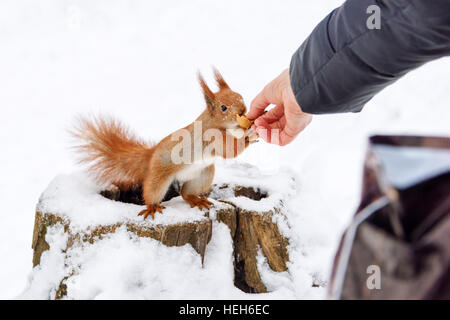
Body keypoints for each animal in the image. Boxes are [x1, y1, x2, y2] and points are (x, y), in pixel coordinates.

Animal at [73, 69, 256, 220]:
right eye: (223, 108)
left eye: (240, 96)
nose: (242, 110)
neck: (218, 124)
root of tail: (150, 155)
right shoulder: (211, 137)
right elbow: (229, 151)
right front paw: (248, 136)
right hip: (159, 175)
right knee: (152, 192)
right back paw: (152, 207)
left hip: (203, 175)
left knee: (184, 193)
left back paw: (196, 200)